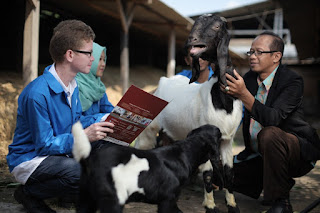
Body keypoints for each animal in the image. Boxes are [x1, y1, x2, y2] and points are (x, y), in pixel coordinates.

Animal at [72, 121, 222, 213]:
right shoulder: (167, 200)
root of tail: (90, 160)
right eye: (220, 136)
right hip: (113, 201)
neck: (185, 151)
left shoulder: (172, 201)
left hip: (86, 200)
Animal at [133, 14, 242, 212]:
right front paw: (210, 206)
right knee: (142, 149)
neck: (223, 101)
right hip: (149, 129)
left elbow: (229, 173)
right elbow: (208, 174)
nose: (192, 40)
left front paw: (232, 204)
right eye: (195, 24)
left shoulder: (227, 140)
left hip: (168, 134)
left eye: (217, 26)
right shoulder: (207, 139)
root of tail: (162, 82)